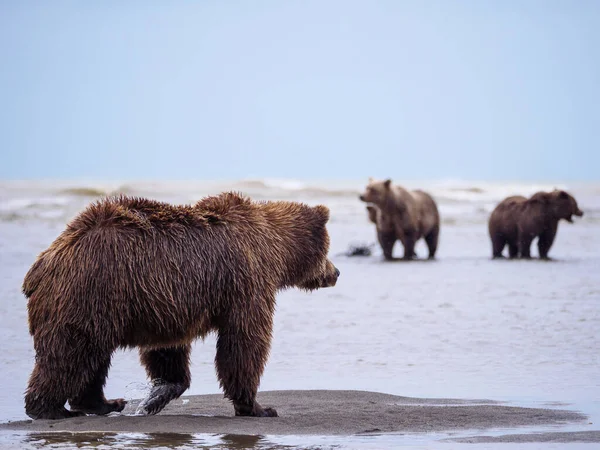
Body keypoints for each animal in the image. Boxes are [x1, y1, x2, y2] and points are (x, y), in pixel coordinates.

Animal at [22, 192, 338, 420]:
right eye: (328, 249)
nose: (335, 273)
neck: (275, 251)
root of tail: (44, 261)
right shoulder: (246, 281)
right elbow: (245, 341)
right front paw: (258, 407)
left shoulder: (167, 299)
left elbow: (167, 348)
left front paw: (156, 396)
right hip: (88, 292)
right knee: (69, 354)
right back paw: (50, 409)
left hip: (101, 305)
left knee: (93, 356)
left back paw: (106, 403)